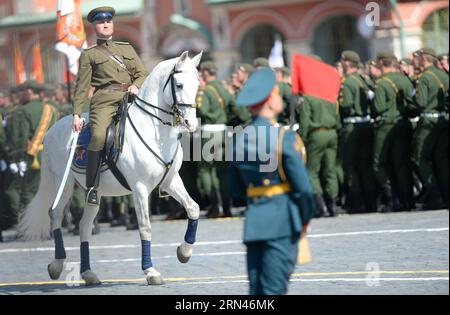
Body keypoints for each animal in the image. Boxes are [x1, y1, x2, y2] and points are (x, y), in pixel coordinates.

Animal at [18, 51, 203, 286]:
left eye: (197, 84)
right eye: (178, 85)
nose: (191, 124)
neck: (153, 129)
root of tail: (52, 129)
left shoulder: (171, 181)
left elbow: (193, 208)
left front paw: (184, 252)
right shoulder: (140, 187)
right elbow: (145, 226)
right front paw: (150, 271)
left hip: (92, 192)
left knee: (84, 226)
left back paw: (88, 273)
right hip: (64, 183)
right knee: (55, 214)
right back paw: (57, 264)